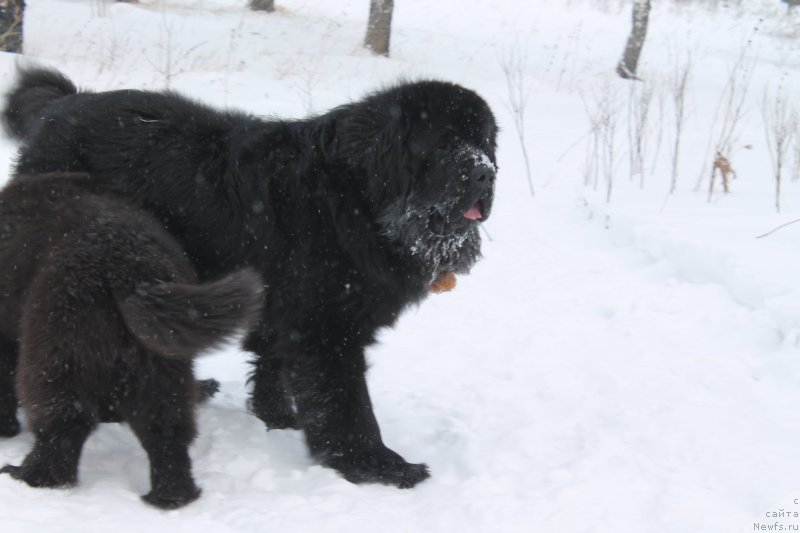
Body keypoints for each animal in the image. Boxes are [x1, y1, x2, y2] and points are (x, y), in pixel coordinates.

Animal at [0, 171, 262, 508]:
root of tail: (126, 265)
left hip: (58, 349)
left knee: (65, 423)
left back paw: (29, 476)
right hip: (158, 361)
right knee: (167, 430)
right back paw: (171, 496)